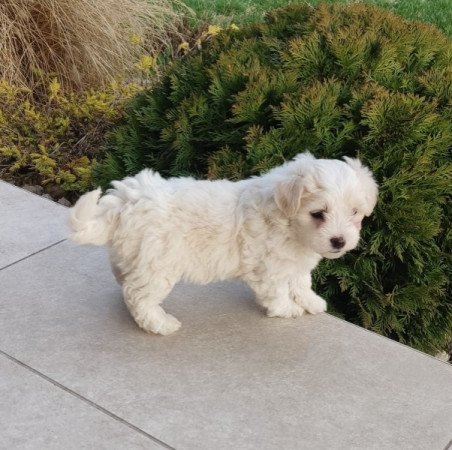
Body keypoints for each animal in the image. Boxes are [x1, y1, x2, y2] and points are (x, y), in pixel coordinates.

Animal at [69, 154, 376, 334]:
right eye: (318, 214)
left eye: (355, 212)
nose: (339, 241)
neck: (287, 221)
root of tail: (125, 201)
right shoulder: (269, 267)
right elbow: (277, 291)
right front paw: (287, 309)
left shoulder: (295, 262)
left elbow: (300, 282)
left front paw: (311, 301)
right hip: (158, 264)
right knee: (139, 296)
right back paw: (161, 323)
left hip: (136, 255)